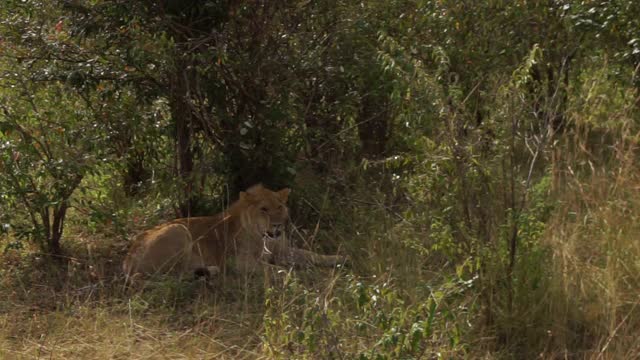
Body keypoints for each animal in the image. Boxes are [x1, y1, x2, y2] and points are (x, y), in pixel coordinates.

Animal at [124, 184, 344, 280]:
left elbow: (311, 254)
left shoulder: (283, 250)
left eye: (280, 206)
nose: (278, 225)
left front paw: (337, 258)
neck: (264, 237)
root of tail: (128, 262)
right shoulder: (238, 261)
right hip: (178, 230)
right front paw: (302, 274)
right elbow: (273, 268)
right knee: (174, 274)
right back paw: (212, 271)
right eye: (264, 209)